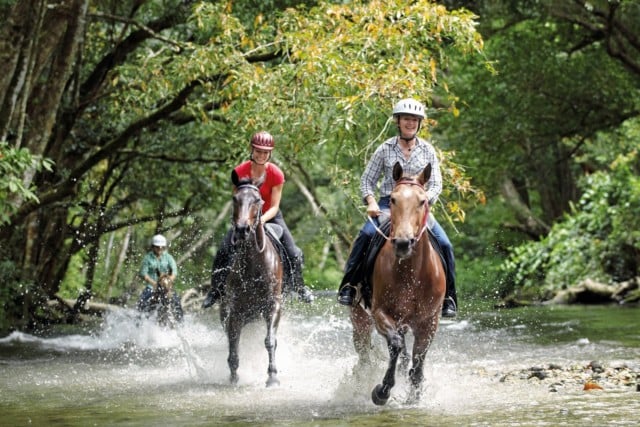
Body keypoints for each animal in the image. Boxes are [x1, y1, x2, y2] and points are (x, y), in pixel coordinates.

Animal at [221, 178, 284, 388]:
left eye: (257, 200)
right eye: (235, 198)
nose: (242, 229)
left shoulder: (273, 305)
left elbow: (270, 341)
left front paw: (272, 376)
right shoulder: (235, 310)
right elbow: (233, 341)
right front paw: (233, 376)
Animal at [350, 162, 444, 406]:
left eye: (422, 201)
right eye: (393, 199)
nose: (402, 243)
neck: (410, 272)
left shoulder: (429, 321)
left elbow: (418, 357)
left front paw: (414, 395)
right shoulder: (380, 312)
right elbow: (395, 344)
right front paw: (382, 391)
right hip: (359, 319)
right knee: (365, 354)